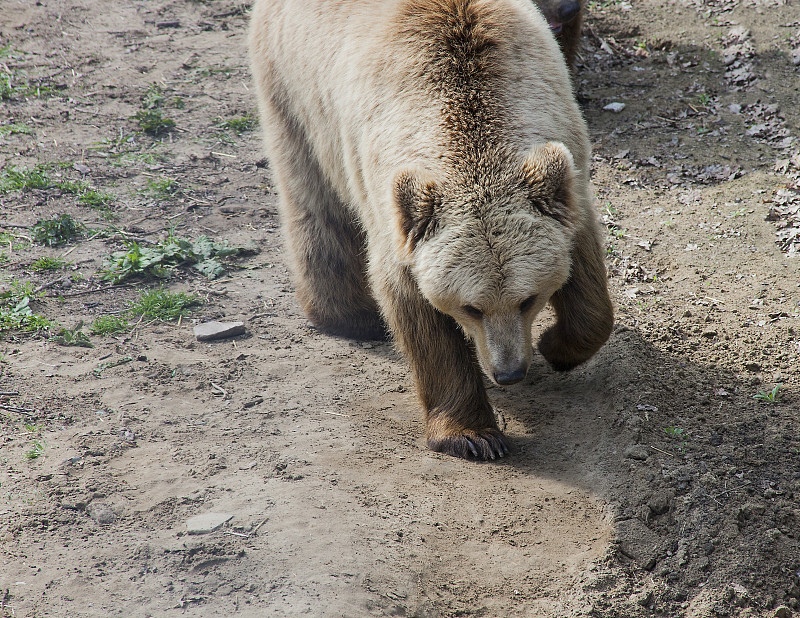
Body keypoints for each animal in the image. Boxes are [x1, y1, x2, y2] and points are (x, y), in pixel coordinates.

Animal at [248, 0, 612, 458]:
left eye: (529, 299)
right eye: (471, 307)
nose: (508, 372)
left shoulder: (564, 162)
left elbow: (585, 274)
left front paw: (557, 346)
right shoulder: (391, 204)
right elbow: (418, 313)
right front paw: (472, 435)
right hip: (295, 89)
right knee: (312, 197)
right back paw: (349, 315)